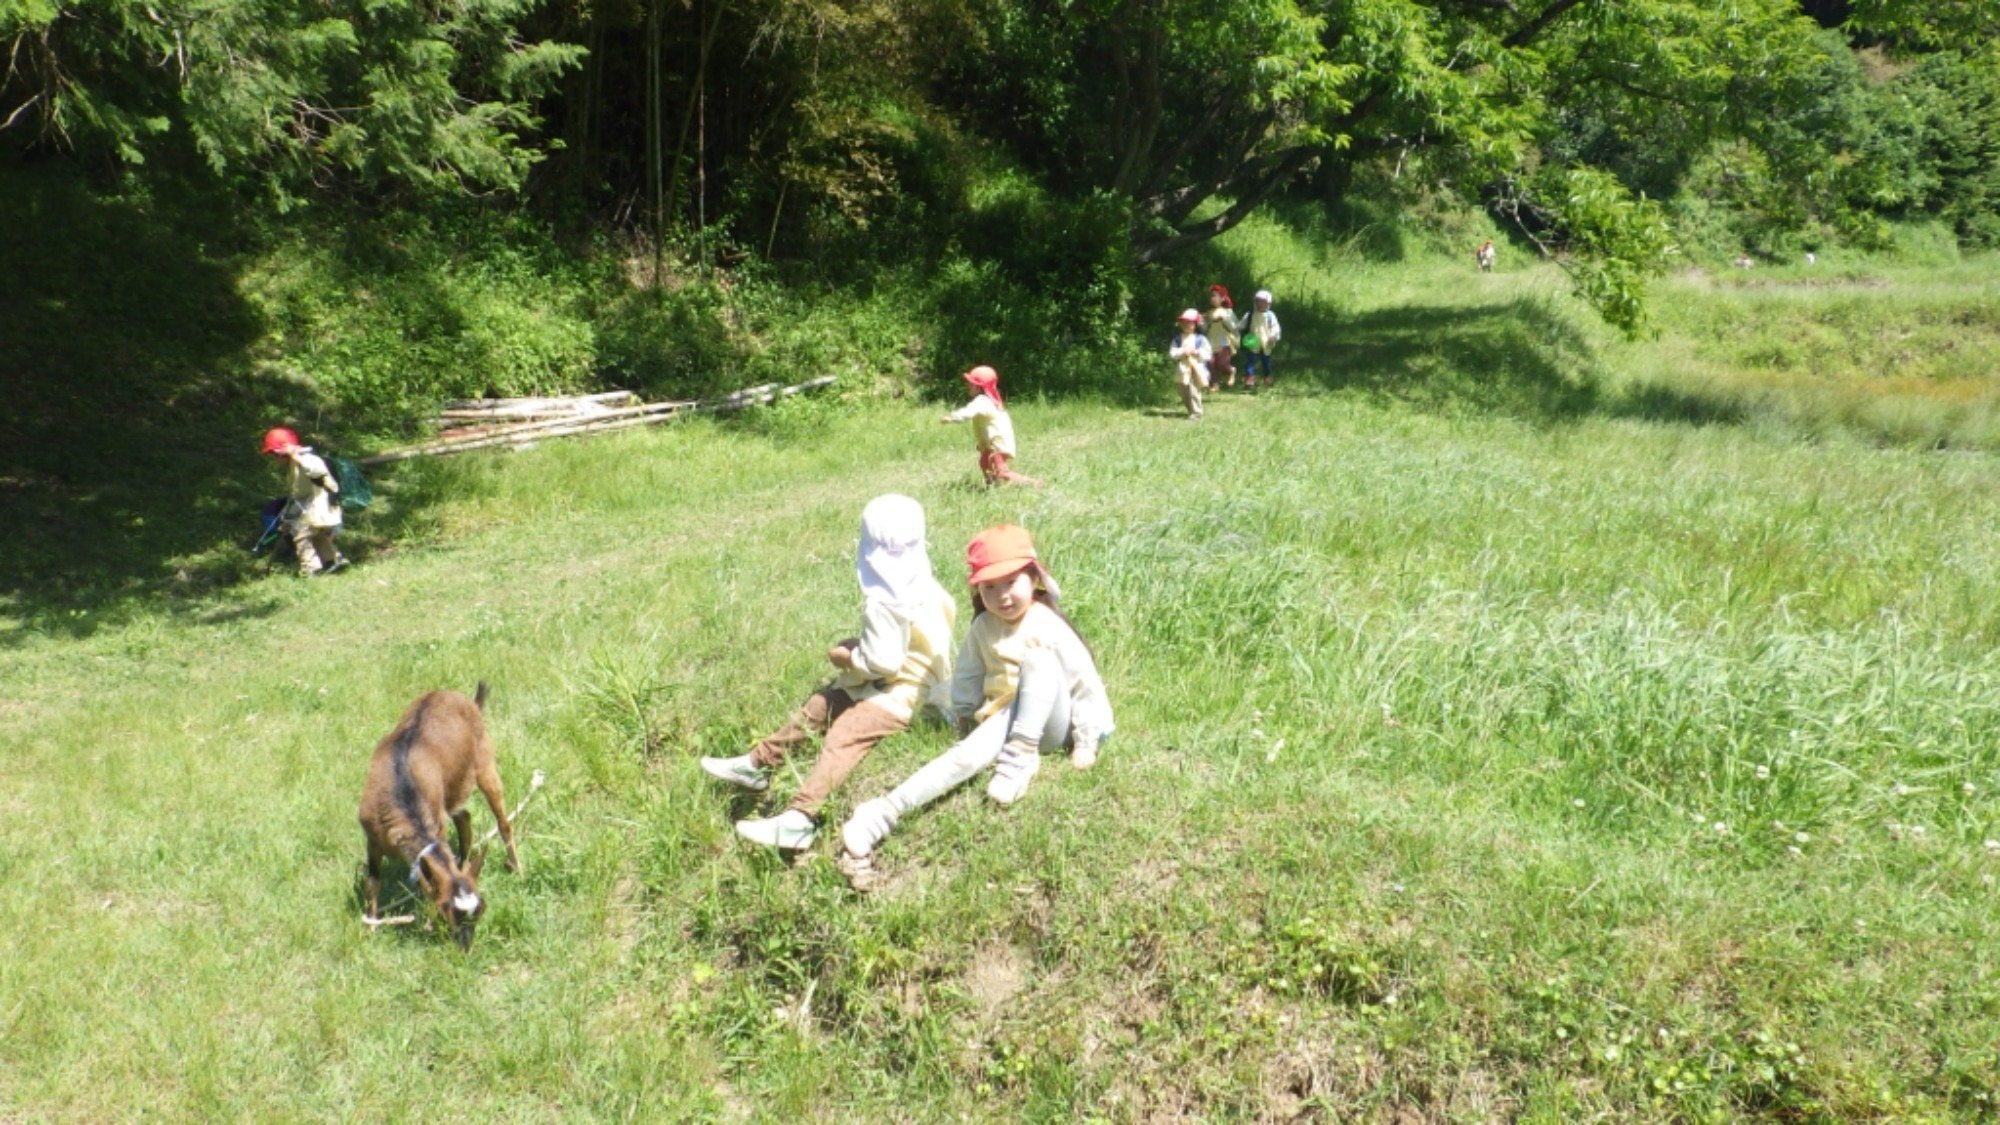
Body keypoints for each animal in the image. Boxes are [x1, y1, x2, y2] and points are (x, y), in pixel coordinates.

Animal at [360, 684, 520, 944]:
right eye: (446, 911)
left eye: (480, 911)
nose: (465, 947)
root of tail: (469, 701)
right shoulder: (372, 839)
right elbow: (372, 884)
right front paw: (371, 928)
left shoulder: (438, 826)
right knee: (465, 818)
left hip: (485, 764)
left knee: (503, 822)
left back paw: (517, 869)